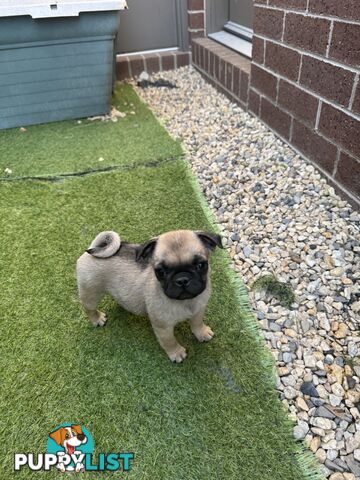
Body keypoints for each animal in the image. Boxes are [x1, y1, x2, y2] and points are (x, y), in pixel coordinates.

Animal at [76, 229, 222, 360]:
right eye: (160, 272)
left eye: (201, 265)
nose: (182, 279)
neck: (186, 301)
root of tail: (91, 249)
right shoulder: (163, 327)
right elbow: (169, 341)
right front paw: (176, 353)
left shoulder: (198, 310)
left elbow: (197, 323)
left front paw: (202, 332)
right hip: (90, 293)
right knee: (89, 308)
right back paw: (97, 319)